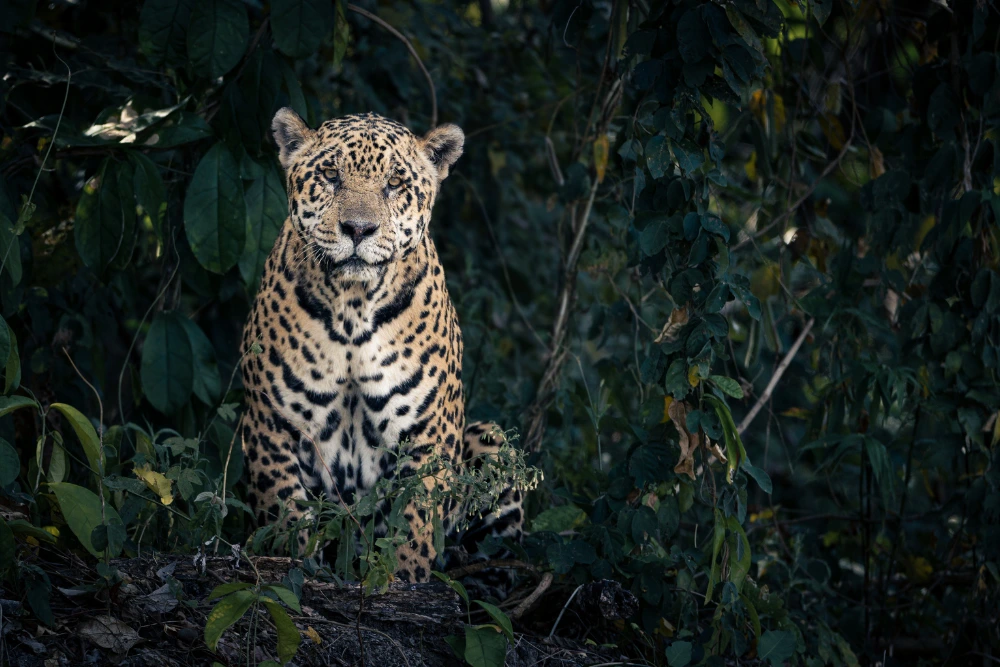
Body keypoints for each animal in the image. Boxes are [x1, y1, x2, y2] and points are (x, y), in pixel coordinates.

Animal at [239, 107, 523, 589]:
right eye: (330, 175)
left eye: (395, 183)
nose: (358, 229)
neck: (353, 308)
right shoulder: (271, 424)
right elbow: (286, 514)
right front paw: (295, 569)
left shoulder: (427, 434)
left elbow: (416, 519)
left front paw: (403, 578)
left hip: (492, 439)